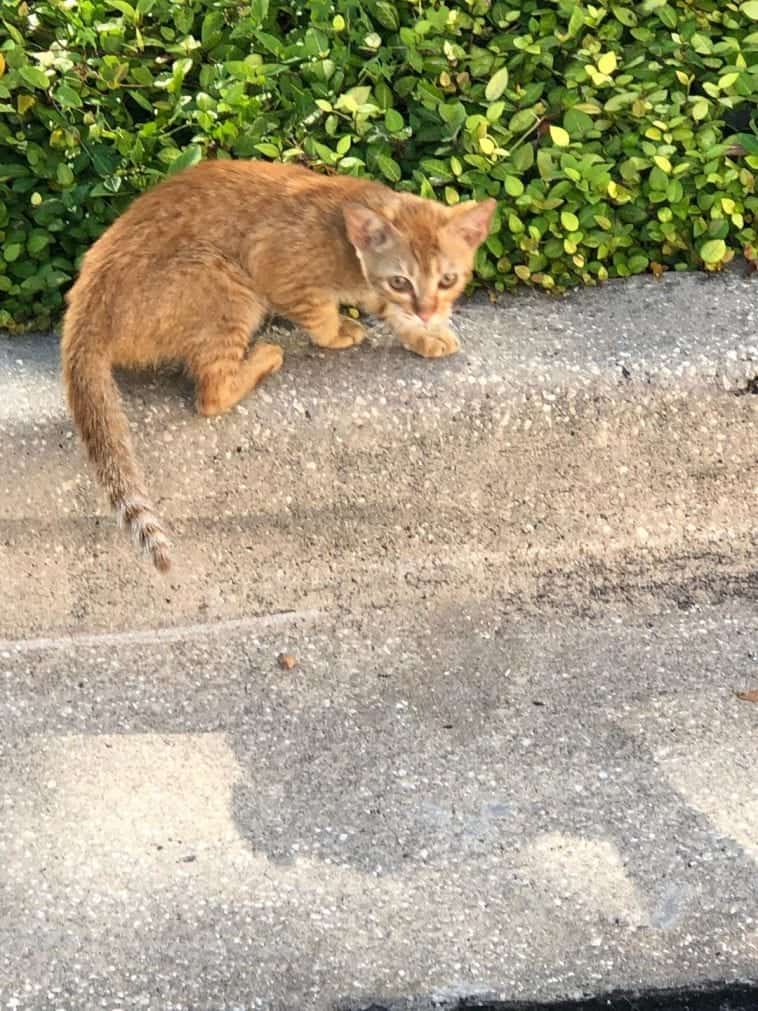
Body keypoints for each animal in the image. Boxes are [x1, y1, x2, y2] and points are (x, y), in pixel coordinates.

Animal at [60, 156, 499, 570]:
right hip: (226, 280)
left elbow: (390, 313)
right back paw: (264, 357)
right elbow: (319, 315)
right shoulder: (279, 272)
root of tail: (86, 304)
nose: (427, 311)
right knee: (211, 393)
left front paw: (426, 333)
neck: (346, 243)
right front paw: (340, 330)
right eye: (400, 281)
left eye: (447, 280)